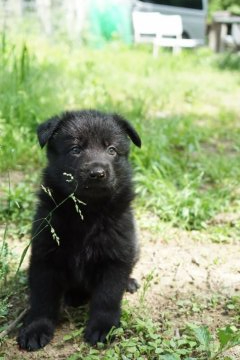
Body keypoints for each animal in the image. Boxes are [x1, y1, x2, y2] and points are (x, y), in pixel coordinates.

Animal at [18, 110, 141, 352]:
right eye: (75, 149)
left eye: (112, 150)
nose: (97, 173)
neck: (88, 212)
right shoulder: (45, 254)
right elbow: (42, 298)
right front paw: (36, 328)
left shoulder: (116, 256)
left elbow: (108, 297)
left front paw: (103, 327)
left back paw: (129, 283)